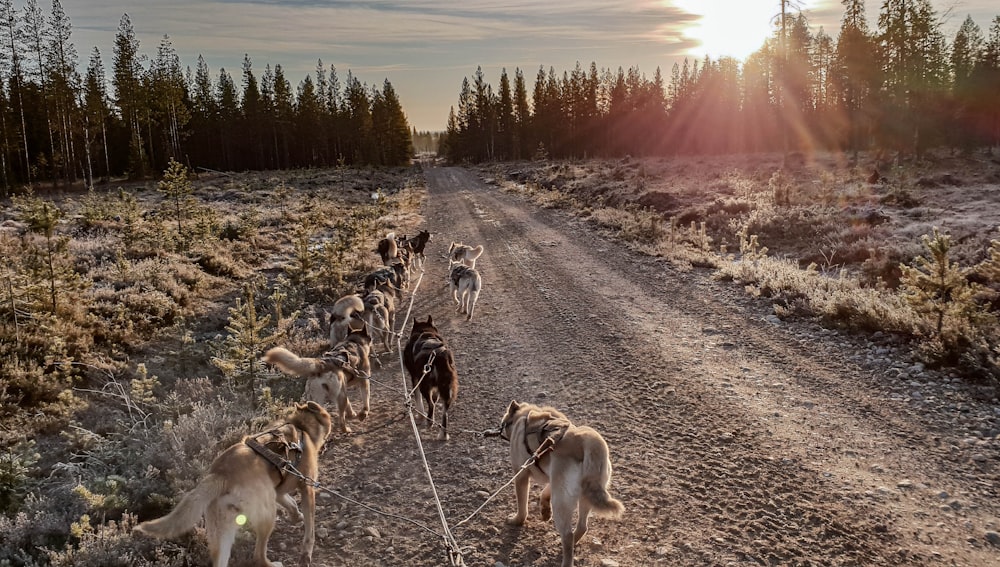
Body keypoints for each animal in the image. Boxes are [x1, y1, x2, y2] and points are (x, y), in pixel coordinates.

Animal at [500, 402, 624, 564]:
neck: (525, 415)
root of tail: (588, 442)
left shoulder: (521, 475)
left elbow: (522, 507)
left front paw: (516, 520)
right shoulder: (552, 478)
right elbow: (544, 492)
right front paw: (545, 511)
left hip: (561, 503)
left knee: (567, 535)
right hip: (584, 495)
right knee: (582, 527)